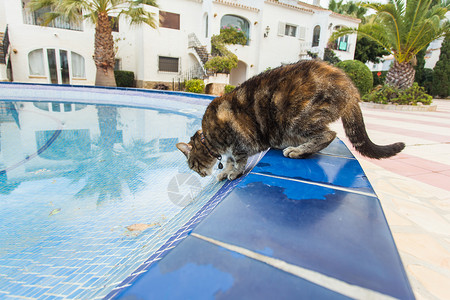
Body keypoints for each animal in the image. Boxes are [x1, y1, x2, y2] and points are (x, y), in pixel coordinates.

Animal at [176, 59, 404, 179]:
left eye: (193, 166)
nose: (200, 175)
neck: (209, 138)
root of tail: (350, 89)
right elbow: (231, 161)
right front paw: (225, 172)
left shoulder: (240, 141)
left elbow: (238, 160)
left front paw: (232, 172)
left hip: (297, 119)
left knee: (329, 134)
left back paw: (297, 151)